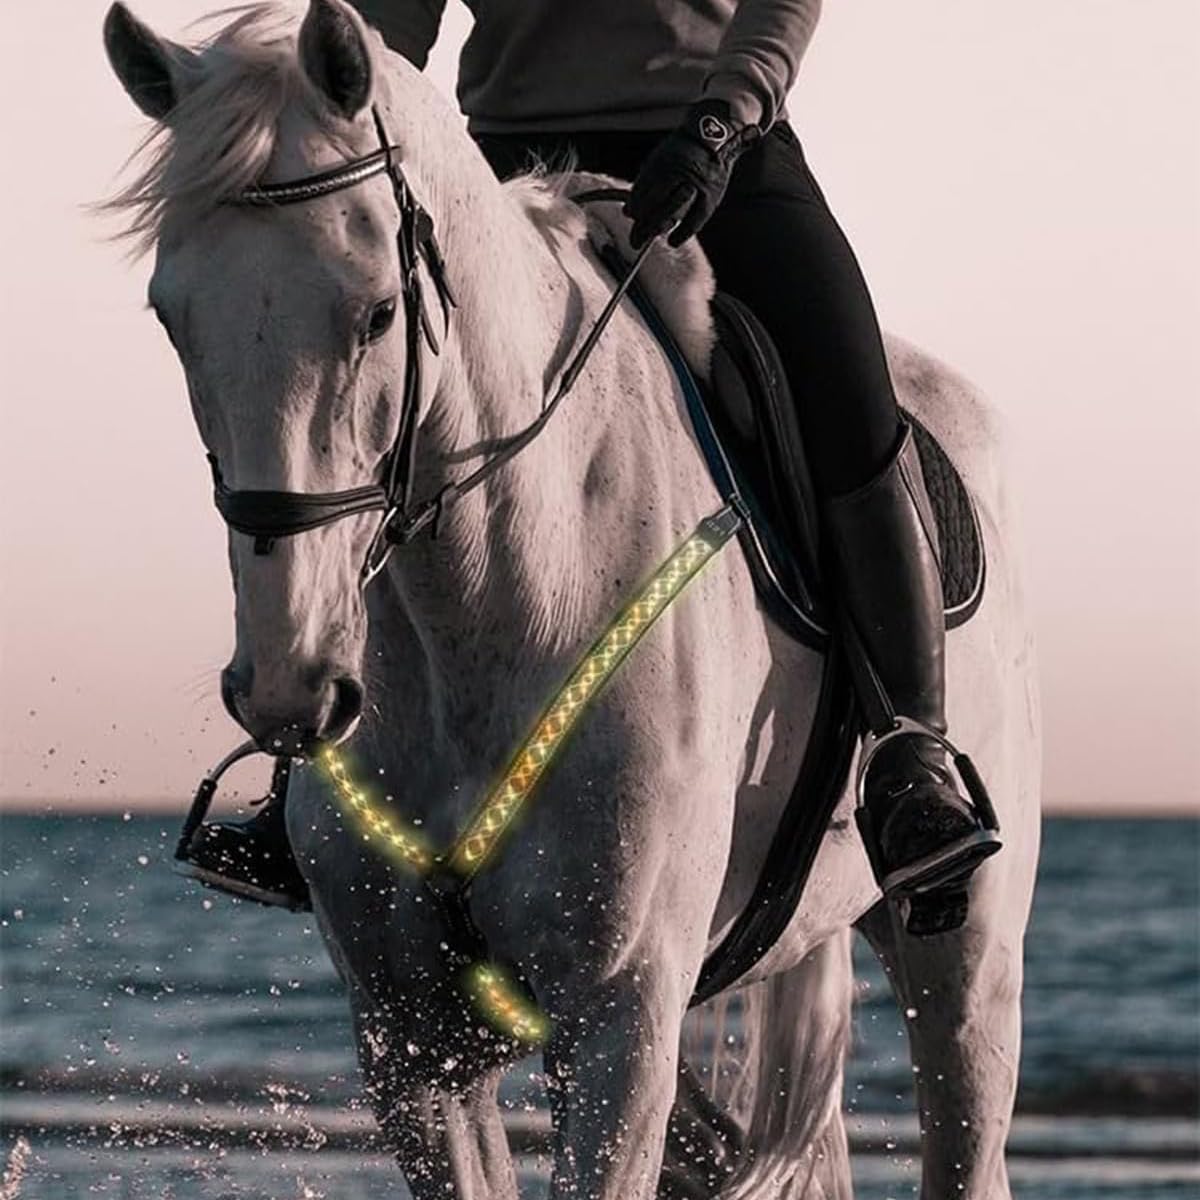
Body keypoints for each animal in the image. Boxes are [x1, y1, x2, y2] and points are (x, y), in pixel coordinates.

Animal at [102, 2, 1042, 1196]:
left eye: (376, 313)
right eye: (170, 318)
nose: (288, 685)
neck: (488, 604)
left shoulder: (619, 1024)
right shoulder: (410, 1045)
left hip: (963, 963)